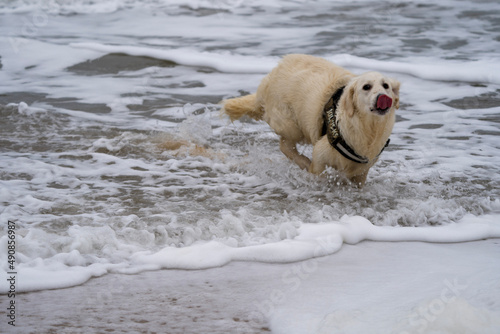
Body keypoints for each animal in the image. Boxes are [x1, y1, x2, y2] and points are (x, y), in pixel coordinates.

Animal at [222, 53, 398, 187]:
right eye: (366, 87)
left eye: (386, 86)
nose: (383, 97)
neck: (368, 127)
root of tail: (270, 76)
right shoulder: (321, 154)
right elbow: (318, 171)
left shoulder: (362, 169)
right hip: (290, 125)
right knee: (285, 146)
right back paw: (304, 162)